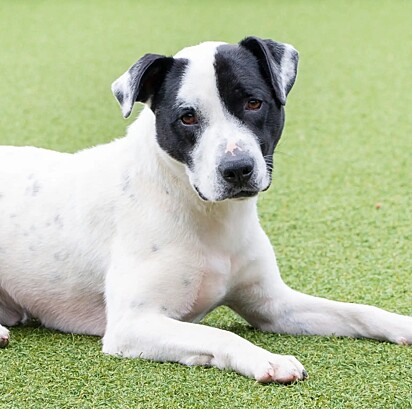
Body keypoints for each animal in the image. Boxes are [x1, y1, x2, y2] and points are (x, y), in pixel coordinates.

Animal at [0, 35, 410, 382]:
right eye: (188, 117)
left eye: (253, 102)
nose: (237, 168)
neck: (207, 212)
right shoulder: (134, 323)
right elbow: (218, 335)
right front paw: (268, 359)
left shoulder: (274, 305)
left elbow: (358, 310)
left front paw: (403, 324)